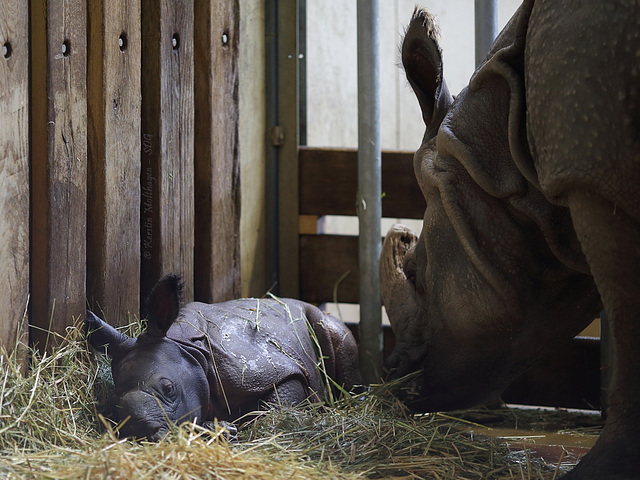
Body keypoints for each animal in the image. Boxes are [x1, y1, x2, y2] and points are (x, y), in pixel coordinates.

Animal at [87, 276, 362, 440]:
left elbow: (277, 404)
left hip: (319, 322)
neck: (189, 349)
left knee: (336, 334)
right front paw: (221, 429)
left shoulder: (265, 369)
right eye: (113, 404)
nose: (141, 432)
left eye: (168, 389)